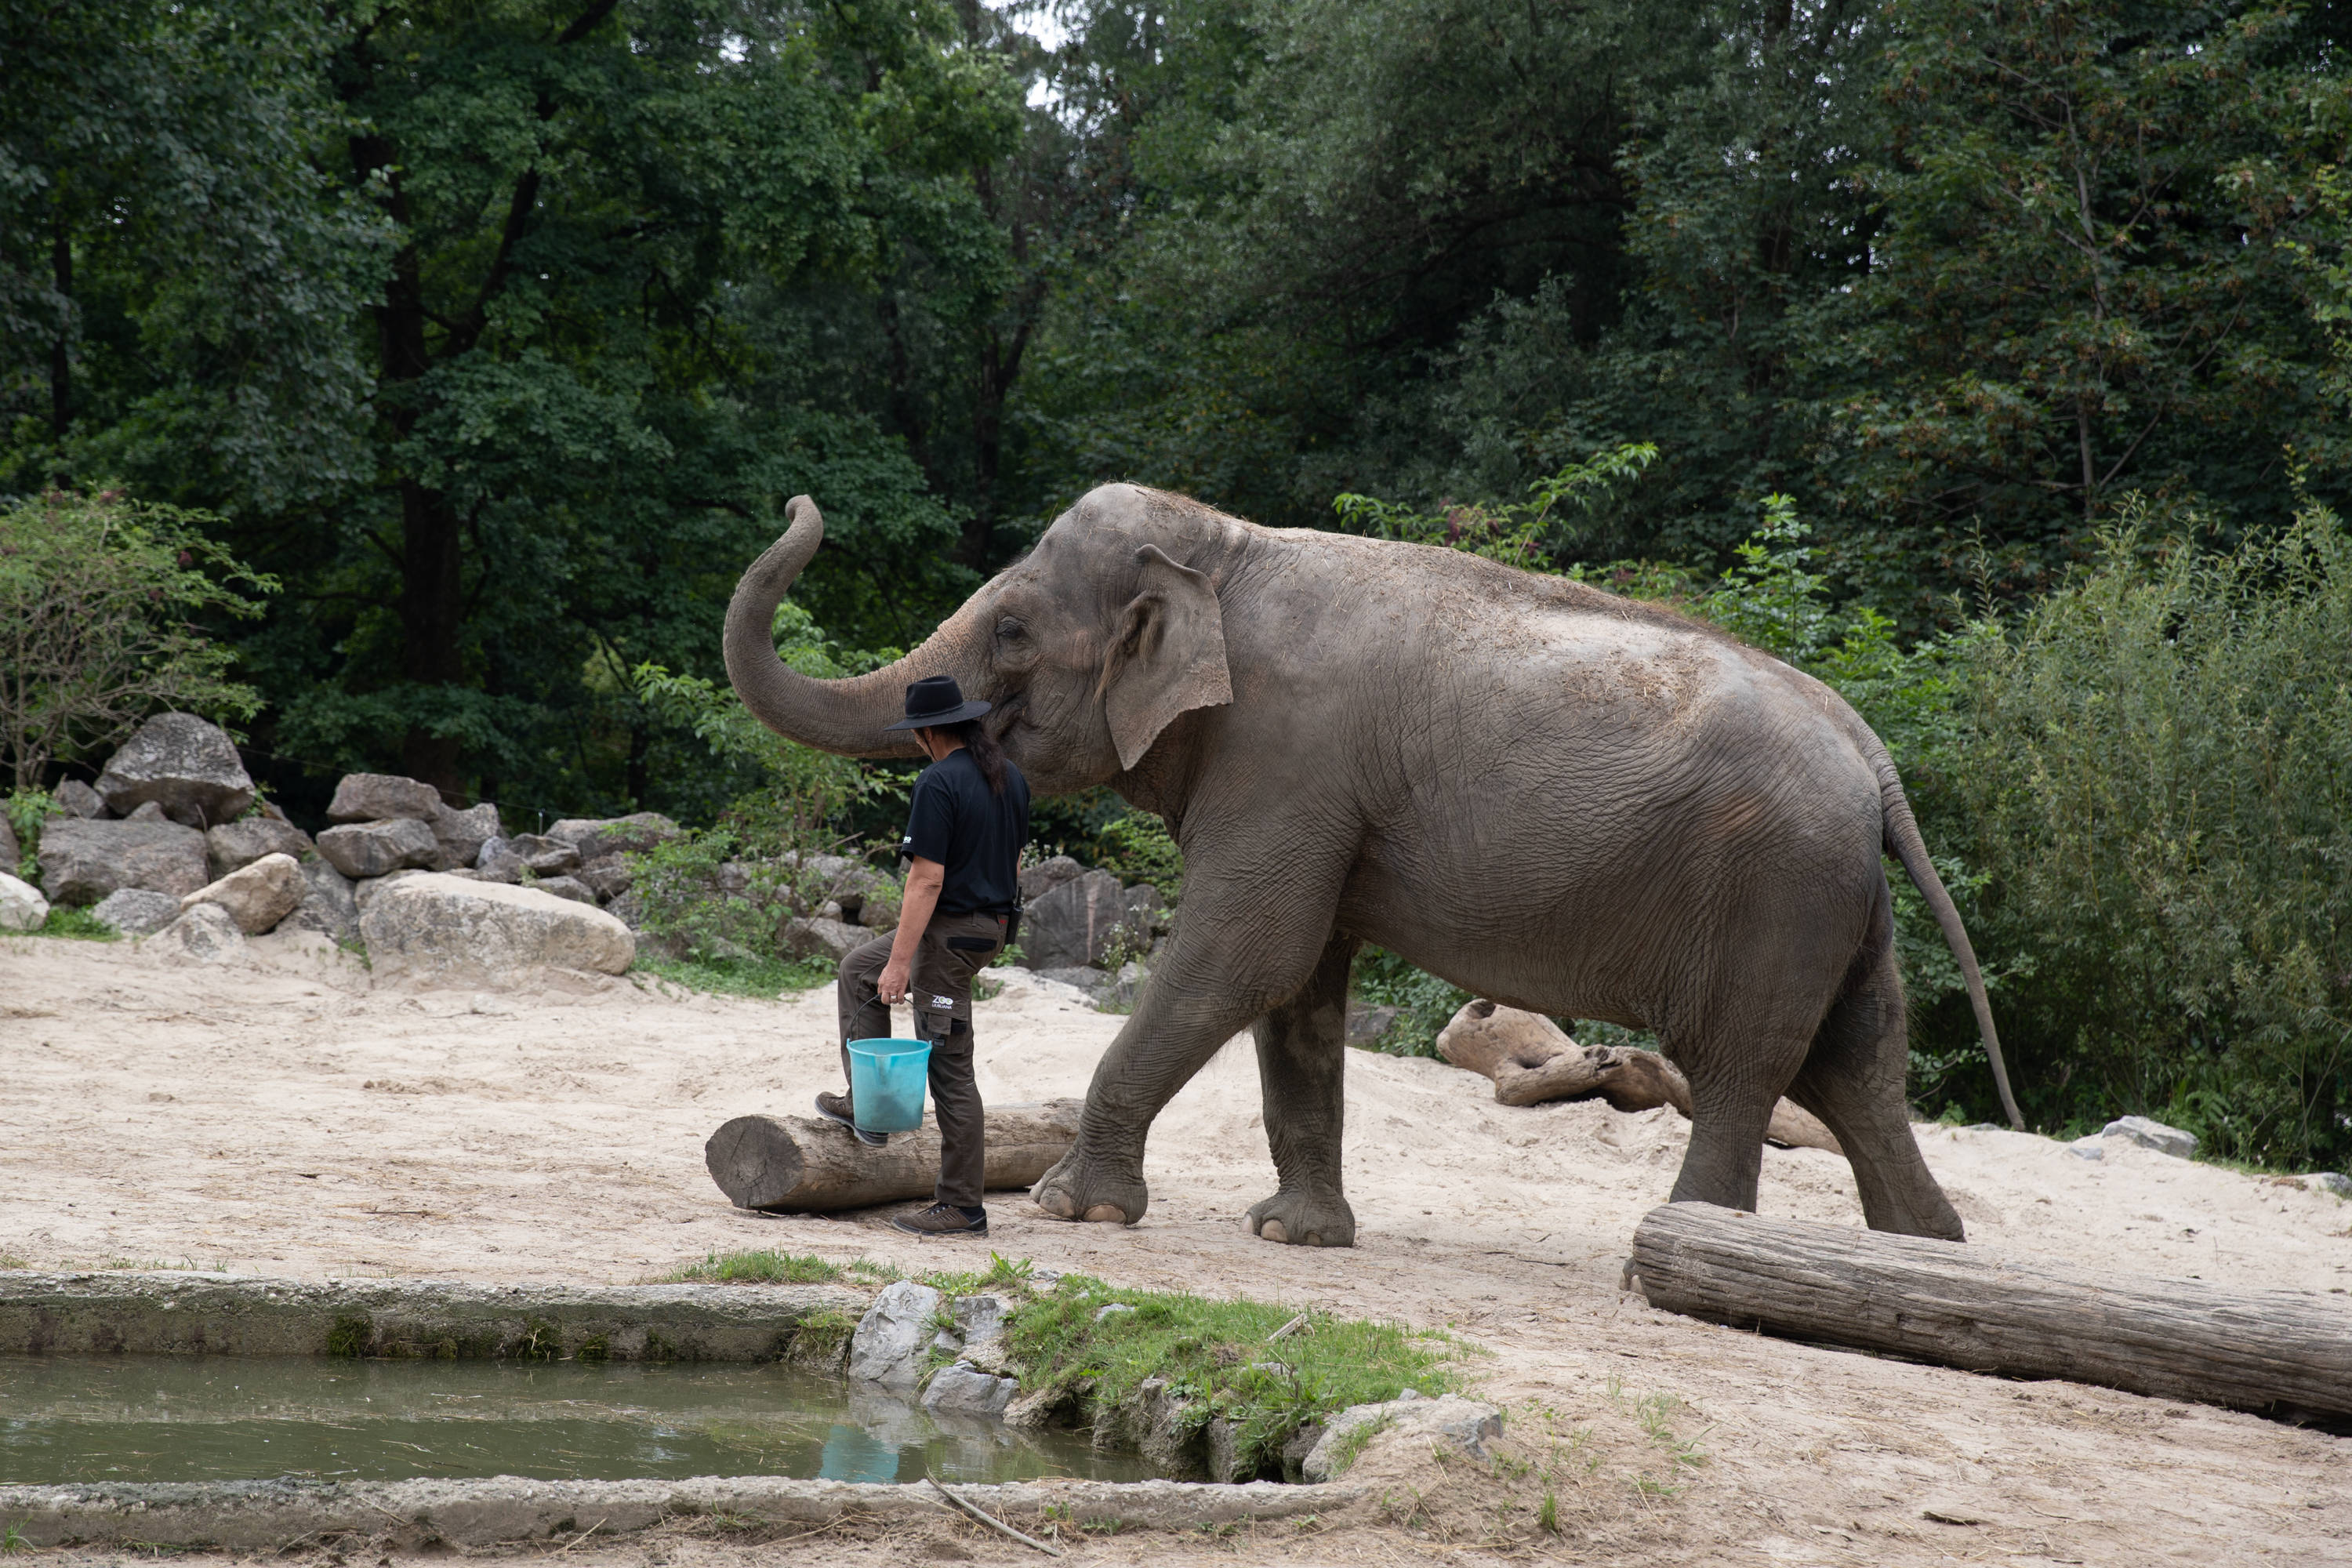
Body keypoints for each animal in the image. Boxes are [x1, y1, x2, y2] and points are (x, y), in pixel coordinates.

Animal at [720, 484, 2023, 1241]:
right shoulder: (1312, 790)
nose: (798, 502)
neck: (1225, 550)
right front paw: (1294, 1234)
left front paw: (1072, 1209)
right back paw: (1924, 1249)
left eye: (1011, 632)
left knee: (1749, 1065)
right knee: (1860, 1063)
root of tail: (1877, 760)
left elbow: (1244, 951)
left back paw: (1689, 1247)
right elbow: (1301, 984)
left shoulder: (1287, 758)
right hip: (1835, 900)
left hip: (1774, 892)